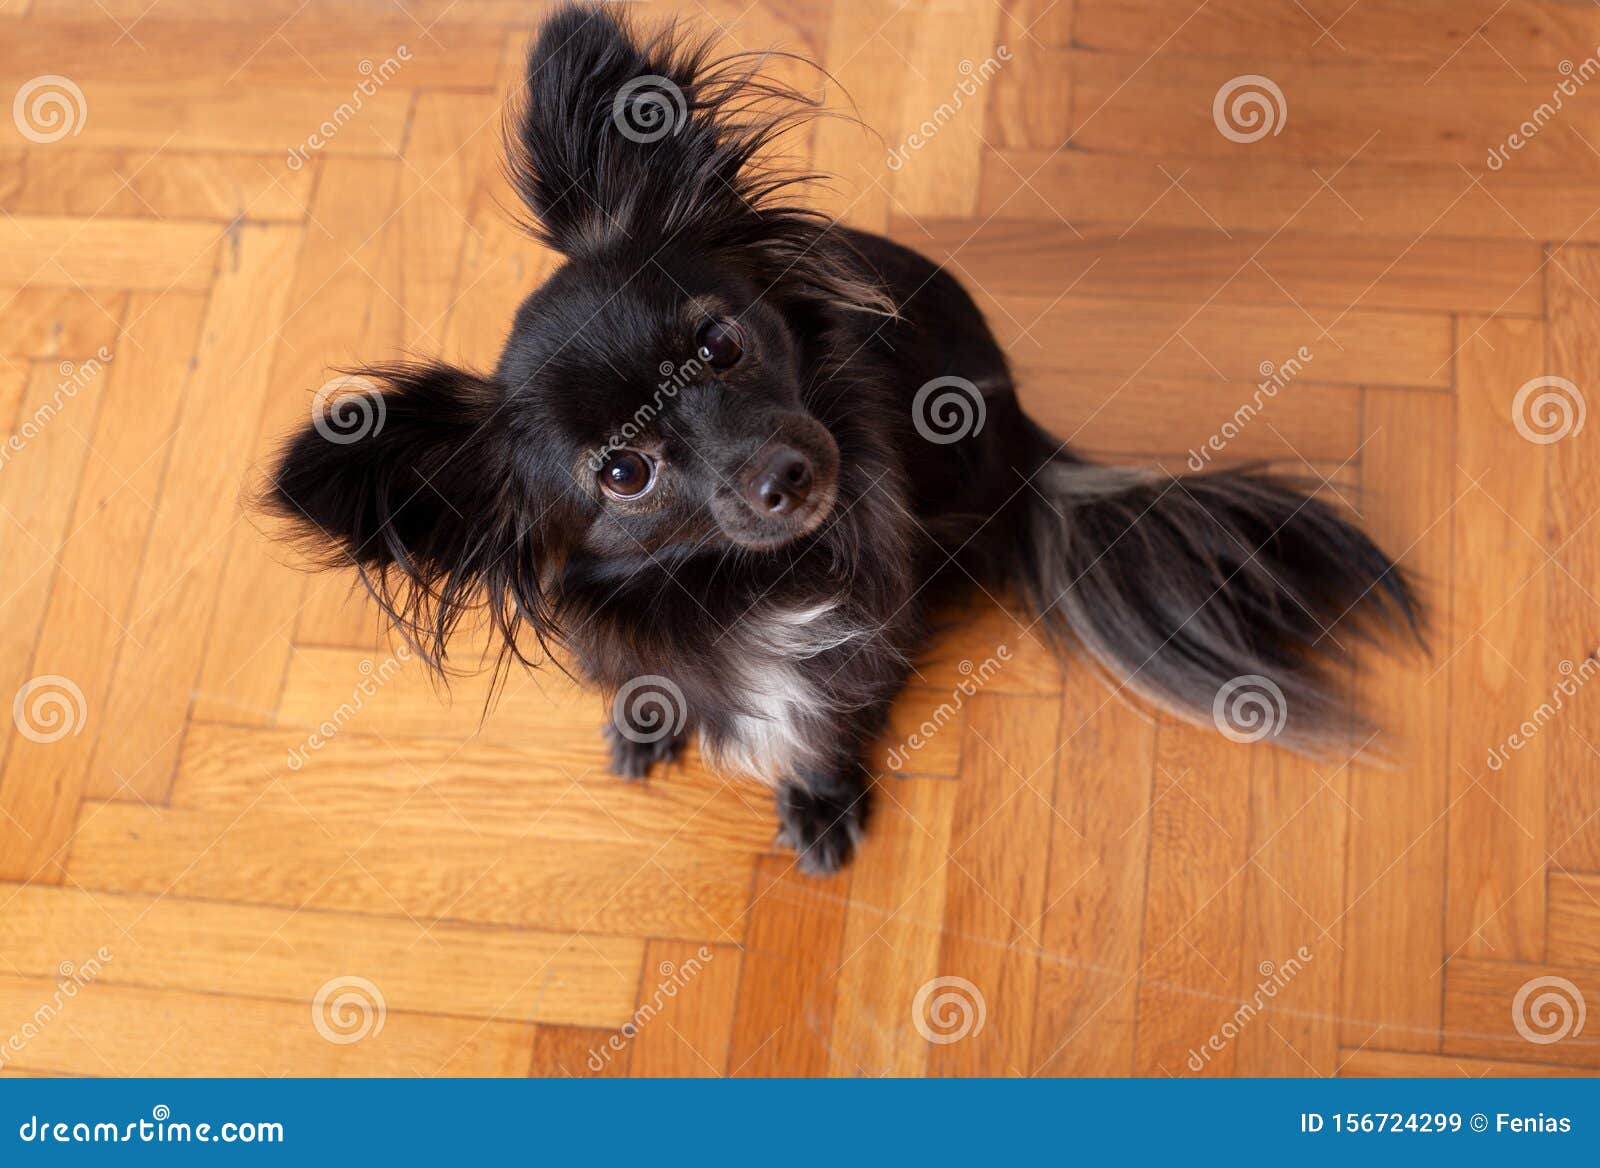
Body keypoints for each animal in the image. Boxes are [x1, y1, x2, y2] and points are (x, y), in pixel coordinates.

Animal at [268, 4, 1420, 870]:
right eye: (624, 473)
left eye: (721, 344)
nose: (783, 472)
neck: (735, 588)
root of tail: (1028, 438)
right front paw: (647, 719)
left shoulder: (856, 634)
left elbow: (826, 724)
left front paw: (820, 803)